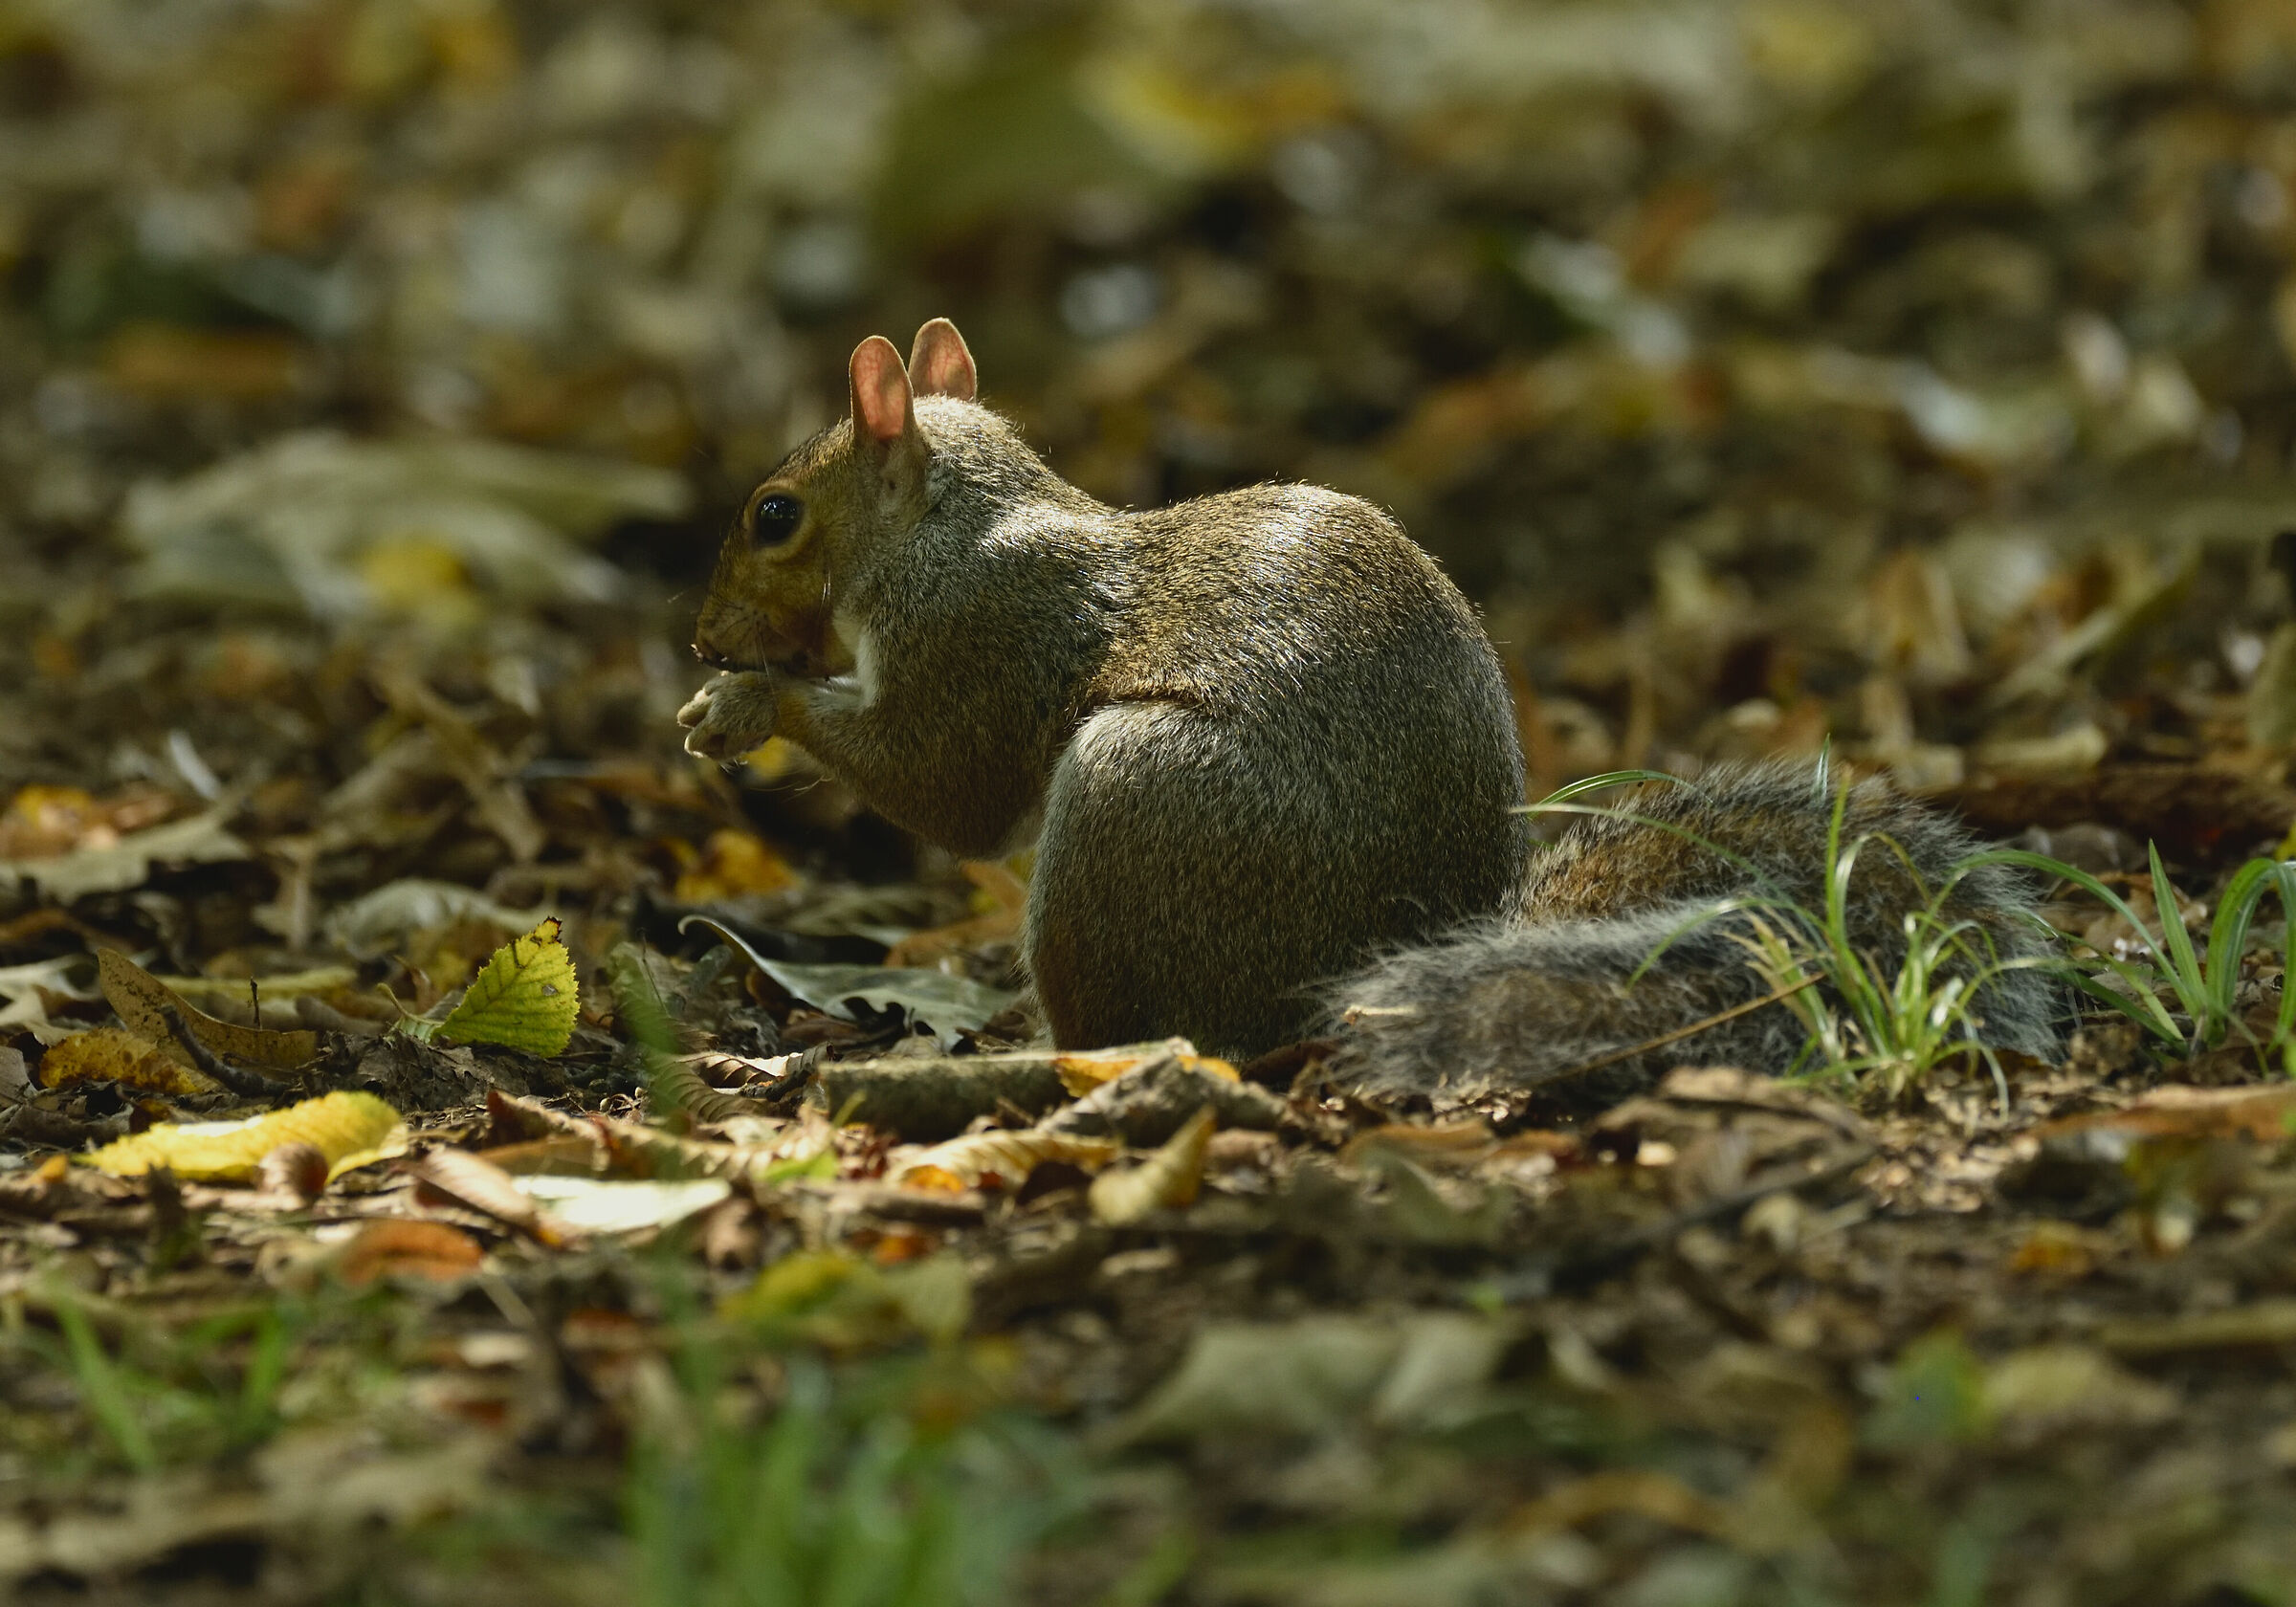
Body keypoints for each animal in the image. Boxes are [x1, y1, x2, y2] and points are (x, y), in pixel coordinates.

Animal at [680, 320, 2062, 1103]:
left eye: (773, 515)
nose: (703, 635)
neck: (954, 526)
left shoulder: (984, 637)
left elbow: (947, 790)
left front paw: (748, 705)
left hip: (1138, 796)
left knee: (1156, 1031)